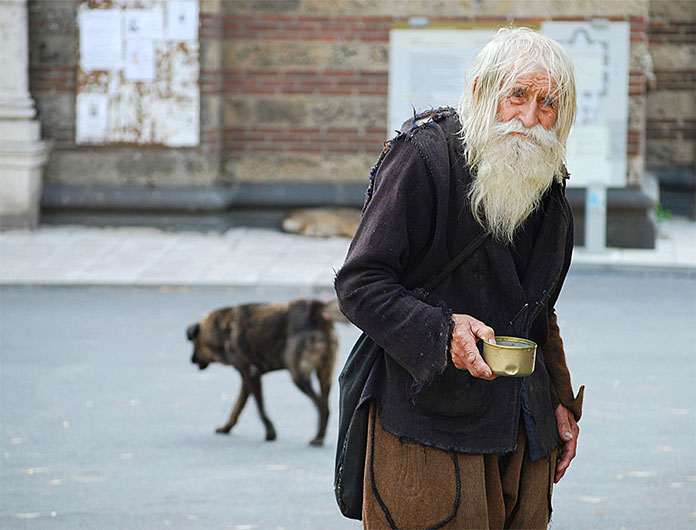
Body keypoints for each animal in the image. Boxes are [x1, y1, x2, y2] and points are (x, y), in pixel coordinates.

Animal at [186, 300, 342, 444]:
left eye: (194, 343)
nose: (191, 360)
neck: (221, 329)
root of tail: (316, 307)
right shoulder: (246, 379)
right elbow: (237, 407)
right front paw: (227, 427)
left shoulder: (251, 374)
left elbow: (260, 408)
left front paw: (270, 432)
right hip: (325, 376)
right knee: (326, 405)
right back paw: (321, 436)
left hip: (298, 375)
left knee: (321, 406)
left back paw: (318, 437)